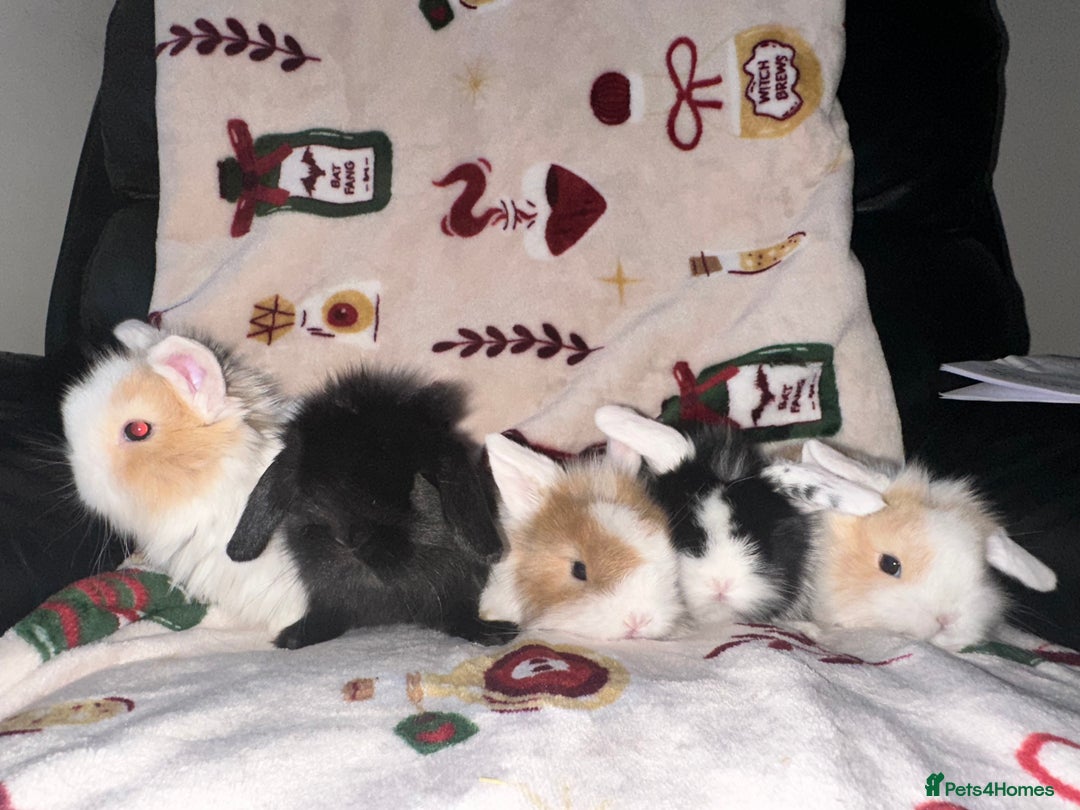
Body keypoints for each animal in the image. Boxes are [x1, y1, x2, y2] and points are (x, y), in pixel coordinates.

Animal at [226, 367, 519, 649]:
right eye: (309, 492)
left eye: (409, 487)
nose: (348, 539)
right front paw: (291, 639)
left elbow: (456, 615)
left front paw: (498, 634)